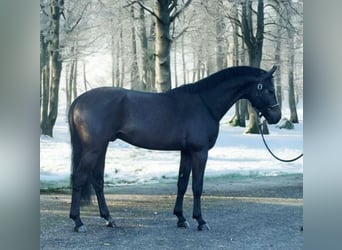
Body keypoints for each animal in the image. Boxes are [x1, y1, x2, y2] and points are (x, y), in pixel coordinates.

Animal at [69, 65, 280, 232]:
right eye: (269, 90)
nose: (276, 116)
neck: (204, 103)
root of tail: (78, 101)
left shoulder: (186, 152)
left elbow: (182, 184)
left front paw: (181, 218)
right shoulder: (200, 152)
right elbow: (197, 186)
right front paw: (201, 221)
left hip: (101, 147)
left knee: (98, 181)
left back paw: (109, 219)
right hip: (93, 149)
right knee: (79, 179)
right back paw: (78, 222)